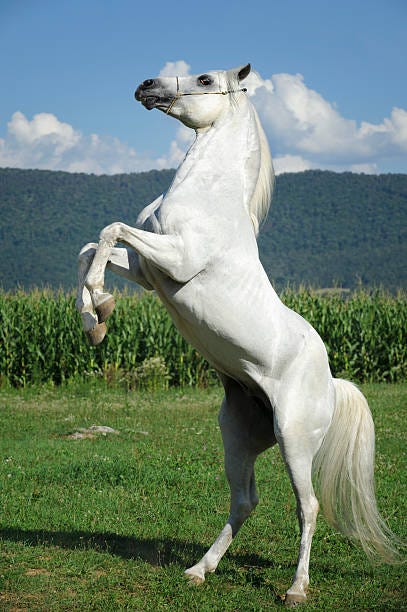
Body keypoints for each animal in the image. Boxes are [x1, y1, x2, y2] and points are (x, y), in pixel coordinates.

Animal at [75, 64, 398, 604]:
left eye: (205, 79)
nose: (146, 87)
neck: (209, 196)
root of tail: (332, 384)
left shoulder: (174, 259)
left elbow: (109, 230)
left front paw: (99, 305)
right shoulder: (147, 269)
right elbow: (90, 247)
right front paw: (94, 320)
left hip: (294, 441)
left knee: (307, 506)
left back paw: (296, 589)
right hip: (239, 437)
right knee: (245, 500)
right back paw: (199, 570)